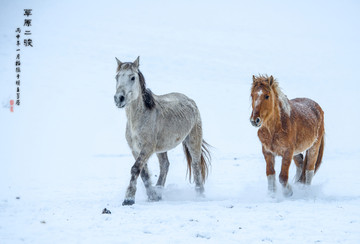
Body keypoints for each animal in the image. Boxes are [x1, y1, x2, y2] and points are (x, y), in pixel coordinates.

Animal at [114, 57, 211, 206]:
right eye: (117, 77)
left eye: (132, 77)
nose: (119, 98)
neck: (140, 118)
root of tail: (191, 101)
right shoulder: (135, 149)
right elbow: (143, 173)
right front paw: (152, 196)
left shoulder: (147, 148)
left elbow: (135, 168)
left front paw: (128, 199)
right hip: (161, 149)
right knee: (165, 165)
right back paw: (159, 192)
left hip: (193, 140)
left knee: (196, 166)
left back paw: (200, 195)